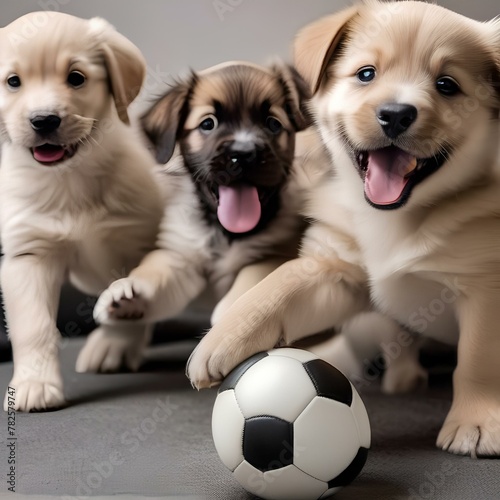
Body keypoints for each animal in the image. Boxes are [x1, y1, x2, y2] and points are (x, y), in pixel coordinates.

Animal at [0, 12, 164, 410]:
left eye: (76, 77)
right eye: (13, 82)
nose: (44, 119)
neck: (68, 180)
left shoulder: (138, 242)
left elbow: (130, 299)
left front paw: (116, 343)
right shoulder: (28, 256)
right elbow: (34, 326)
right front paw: (35, 383)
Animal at [93, 61, 328, 360]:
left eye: (272, 123)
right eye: (208, 124)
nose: (244, 153)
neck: (226, 233)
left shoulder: (277, 251)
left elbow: (256, 271)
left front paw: (234, 307)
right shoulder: (181, 259)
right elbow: (154, 273)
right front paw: (129, 295)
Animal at [187, 0, 500, 458]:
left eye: (447, 85)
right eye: (366, 74)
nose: (395, 114)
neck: (394, 219)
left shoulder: (483, 288)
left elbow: (477, 359)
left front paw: (476, 421)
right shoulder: (334, 271)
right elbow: (278, 286)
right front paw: (225, 336)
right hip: (368, 324)